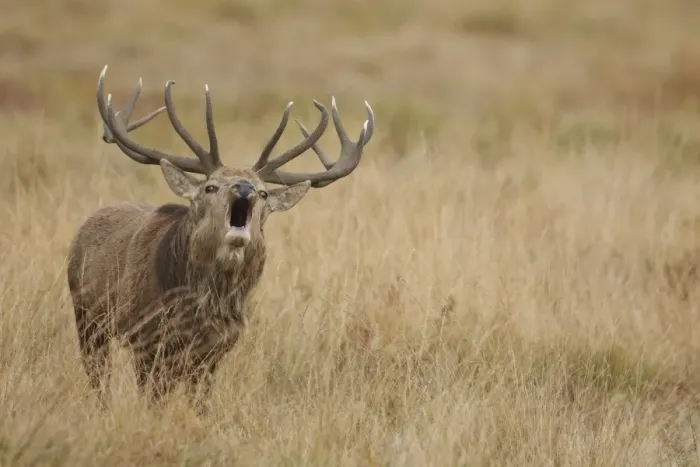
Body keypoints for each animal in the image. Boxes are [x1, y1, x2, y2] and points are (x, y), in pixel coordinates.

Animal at [66, 65, 374, 414]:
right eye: (210, 187)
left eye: (264, 193)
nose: (245, 188)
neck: (204, 306)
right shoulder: (145, 337)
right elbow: (152, 400)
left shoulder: (216, 350)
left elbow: (200, 403)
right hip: (88, 318)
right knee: (98, 377)